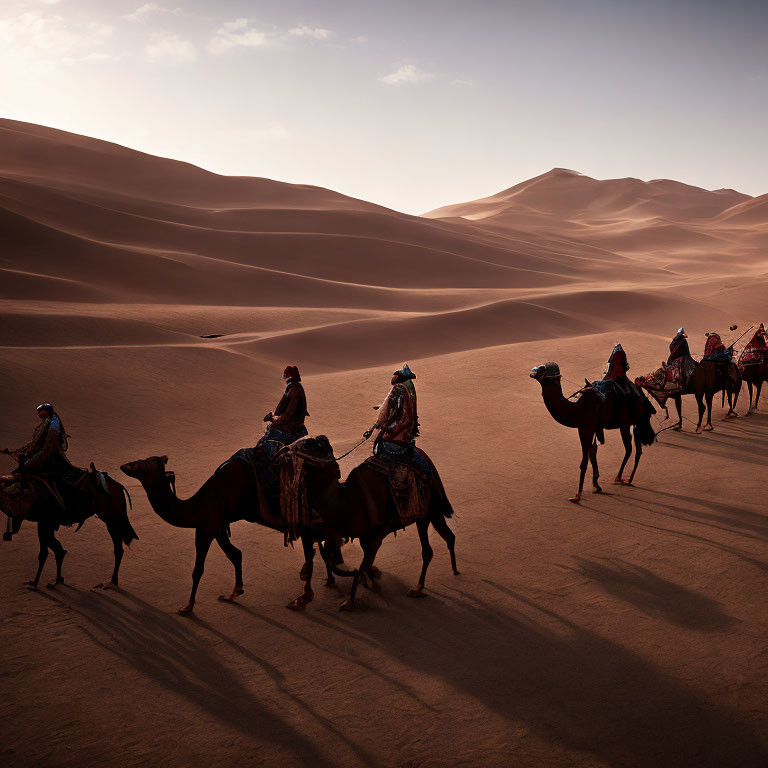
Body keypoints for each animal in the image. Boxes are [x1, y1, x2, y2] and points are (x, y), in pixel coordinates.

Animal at [0, 460, 136, 592]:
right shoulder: (46, 523)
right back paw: (112, 581)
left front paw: (34, 583)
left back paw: (111, 582)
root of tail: (119, 487)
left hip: (112, 518)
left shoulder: (44, 521)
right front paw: (58, 579)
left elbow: (44, 553)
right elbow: (58, 549)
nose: (7, 534)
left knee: (118, 548)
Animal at [274, 438, 460, 612]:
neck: (348, 501)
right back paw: (450, 571)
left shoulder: (378, 530)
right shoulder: (361, 533)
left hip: (429, 510)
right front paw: (371, 577)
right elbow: (347, 558)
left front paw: (350, 601)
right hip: (427, 514)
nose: (283, 449)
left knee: (430, 548)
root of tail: (425, 458)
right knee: (446, 538)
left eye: (311, 444)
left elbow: (362, 562)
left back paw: (420, 587)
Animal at [536, 364, 656, 504]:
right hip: (627, 424)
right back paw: (623, 479)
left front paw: (577, 495)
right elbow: (593, 452)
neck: (576, 410)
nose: (532, 372)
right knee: (633, 449)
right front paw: (596, 485)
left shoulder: (585, 429)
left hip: (633, 422)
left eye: (543, 371)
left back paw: (624, 479)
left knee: (634, 449)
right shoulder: (592, 429)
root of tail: (642, 398)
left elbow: (584, 461)